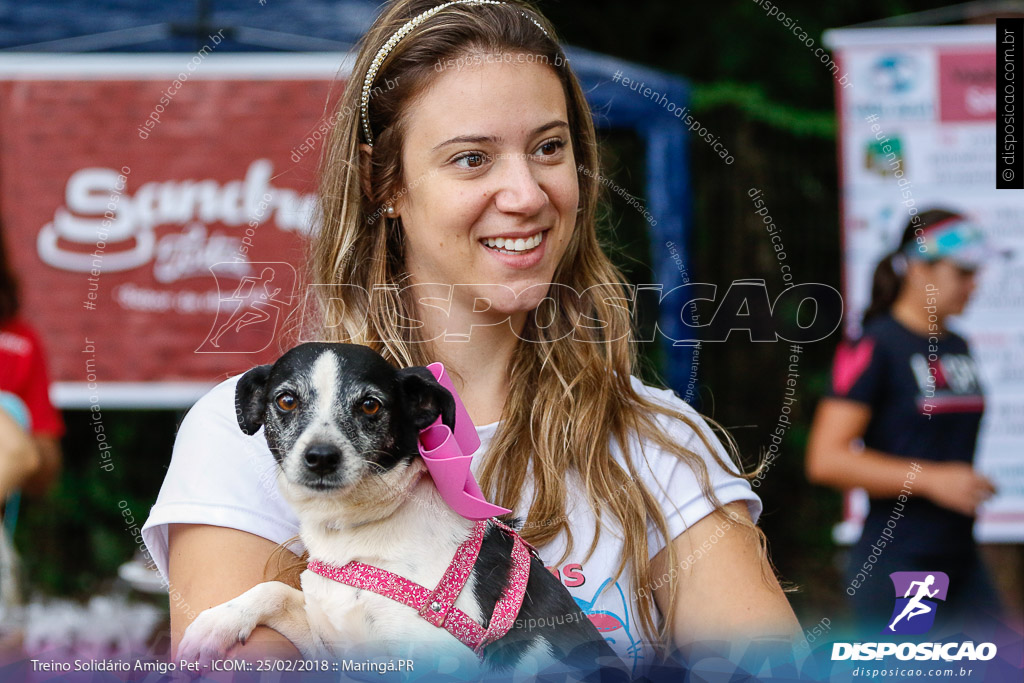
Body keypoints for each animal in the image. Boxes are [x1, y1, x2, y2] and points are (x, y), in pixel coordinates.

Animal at [178, 344, 622, 675]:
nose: (321, 457)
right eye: (286, 400)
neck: (356, 531)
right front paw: (216, 623)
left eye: (370, 406)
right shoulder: (333, 641)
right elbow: (274, 590)